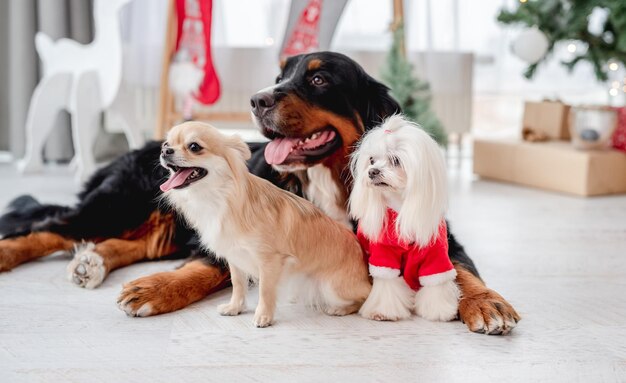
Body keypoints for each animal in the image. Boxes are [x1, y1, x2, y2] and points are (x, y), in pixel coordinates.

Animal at [0, 51, 516, 336]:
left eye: (319, 78)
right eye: (281, 74)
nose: (258, 99)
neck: (327, 183)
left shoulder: (437, 236)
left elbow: (462, 273)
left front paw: (488, 303)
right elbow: (206, 269)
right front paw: (159, 288)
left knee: (124, 243)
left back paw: (92, 262)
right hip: (120, 203)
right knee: (46, 228)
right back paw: (18, 256)